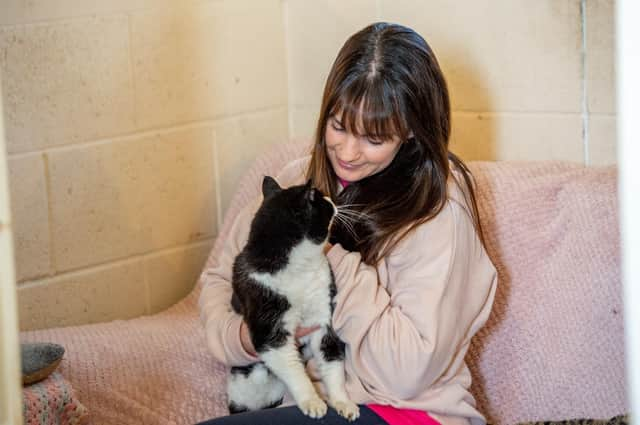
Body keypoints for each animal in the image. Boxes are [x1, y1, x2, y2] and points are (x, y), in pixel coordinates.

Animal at [228, 176, 360, 420]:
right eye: (319, 199)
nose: (331, 199)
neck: (300, 269)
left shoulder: (322, 316)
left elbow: (332, 362)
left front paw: (342, 402)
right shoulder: (269, 328)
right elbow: (293, 367)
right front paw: (313, 401)